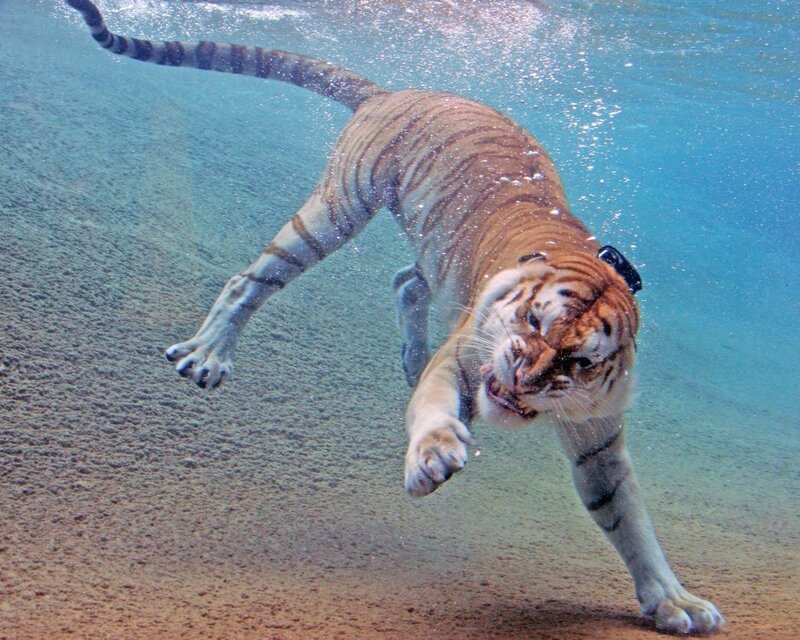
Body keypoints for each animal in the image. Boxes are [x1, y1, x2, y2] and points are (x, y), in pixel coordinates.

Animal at [66, 0, 724, 634]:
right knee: (252, 279)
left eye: (579, 361)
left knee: (406, 282)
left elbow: (628, 518)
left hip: (427, 249)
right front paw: (435, 455)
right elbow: (433, 410)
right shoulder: (465, 357)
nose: (523, 378)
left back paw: (408, 357)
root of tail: (395, 92)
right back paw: (209, 356)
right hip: (337, 208)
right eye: (534, 324)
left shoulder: (599, 436)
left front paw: (676, 601)